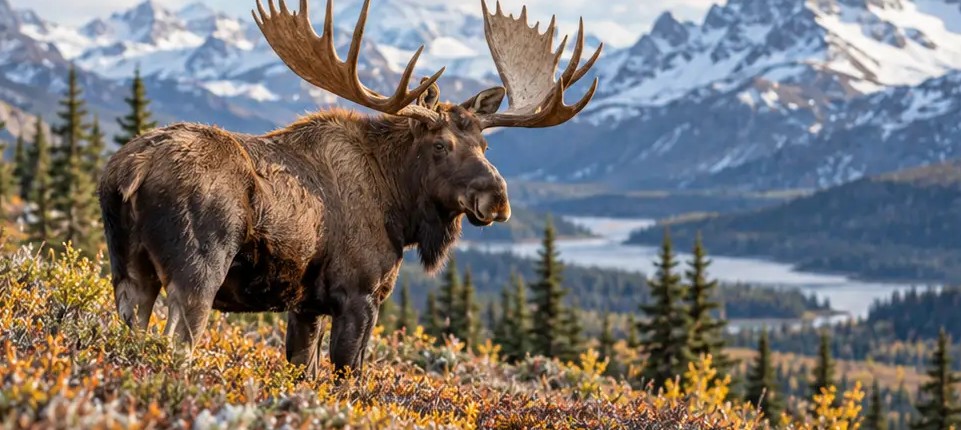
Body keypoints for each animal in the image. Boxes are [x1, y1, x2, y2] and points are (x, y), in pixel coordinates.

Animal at [97, 0, 602, 378]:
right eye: (440, 144)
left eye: (485, 143)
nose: (498, 199)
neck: (399, 212)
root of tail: (130, 171)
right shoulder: (360, 295)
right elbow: (350, 378)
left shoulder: (305, 305)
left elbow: (303, 370)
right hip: (197, 270)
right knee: (177, 345)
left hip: (128, 268)